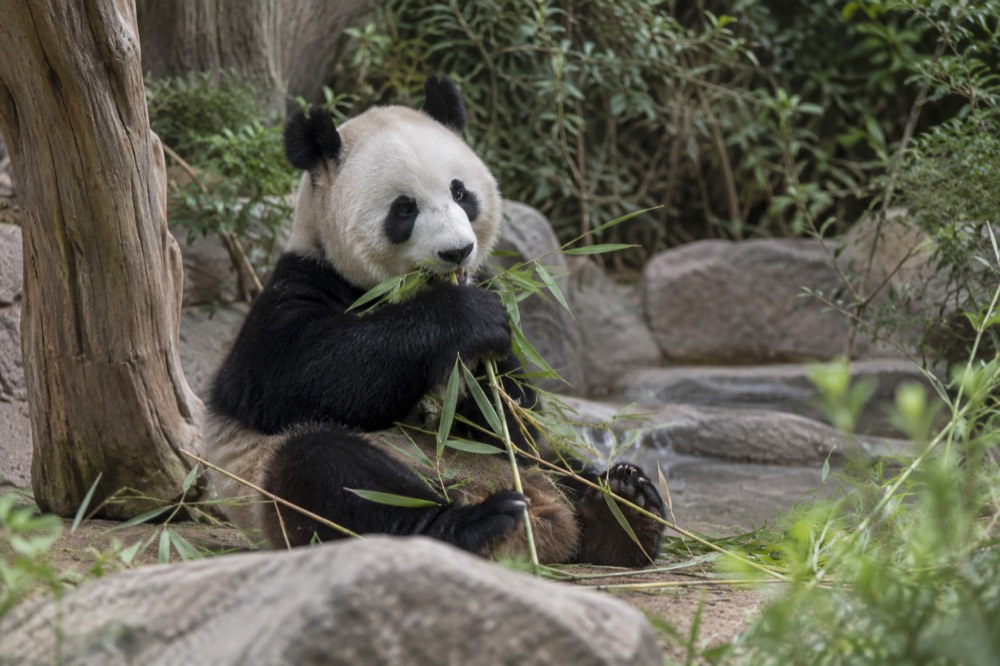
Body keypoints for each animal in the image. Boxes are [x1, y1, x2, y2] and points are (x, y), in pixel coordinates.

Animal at [204, 75, 666, 566]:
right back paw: (475, 523)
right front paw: (466, 319)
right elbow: (294, 375)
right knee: (330, 474)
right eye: (404, 209)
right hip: (275, 478)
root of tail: (544, 518)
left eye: (460, 192)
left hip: (535, 471)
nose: (457, 251)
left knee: (559, 466)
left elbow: (510, 421)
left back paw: (625, 507)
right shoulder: (299, 284)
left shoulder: (487, 287)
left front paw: (489, 380)